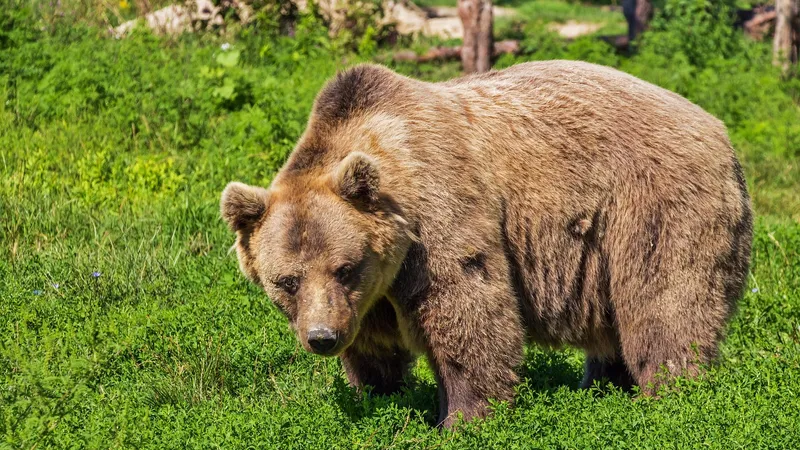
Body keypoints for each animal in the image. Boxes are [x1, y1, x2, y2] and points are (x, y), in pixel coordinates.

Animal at [221, 60, 753, 428]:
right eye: (286, 281)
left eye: (344, 267)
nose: (322, 338)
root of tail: (719, 130)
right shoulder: (370, 293)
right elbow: (374, 345)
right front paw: (379, 394)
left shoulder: (438, 216)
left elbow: (467, 309)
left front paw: (463, 417)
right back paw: (602, 385)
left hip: (653, 205)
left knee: (665, 302)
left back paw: (669, 393)